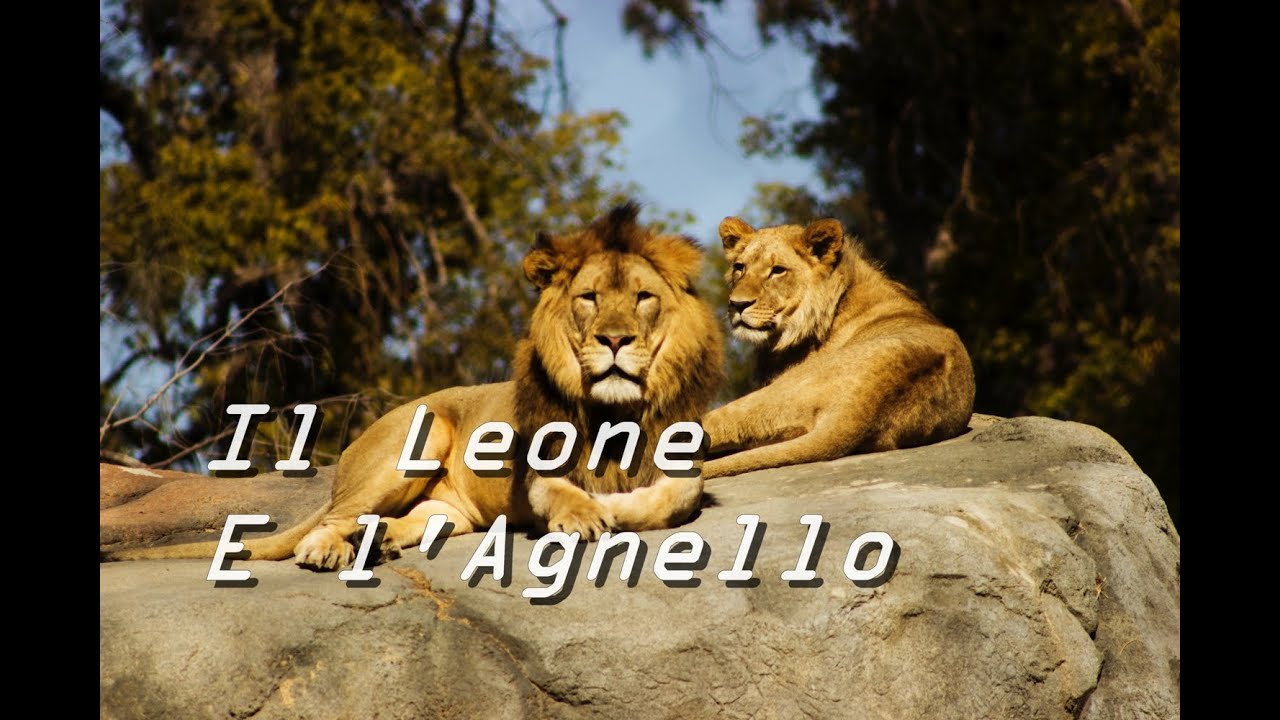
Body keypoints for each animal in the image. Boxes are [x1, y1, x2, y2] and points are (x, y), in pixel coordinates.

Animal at [103, 202, 724, 569]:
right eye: (590, 298)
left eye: (643, 298)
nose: (615, 339)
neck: (617, 414)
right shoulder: (536, 467)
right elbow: (561, 491)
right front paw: (586, 512)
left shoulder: (682, 463)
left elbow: (675, 496)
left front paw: (617, 505)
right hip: (414, 443)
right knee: (325, 525)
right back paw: (331, 550)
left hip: (449, 510)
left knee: (409, 521)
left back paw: (376, 541)